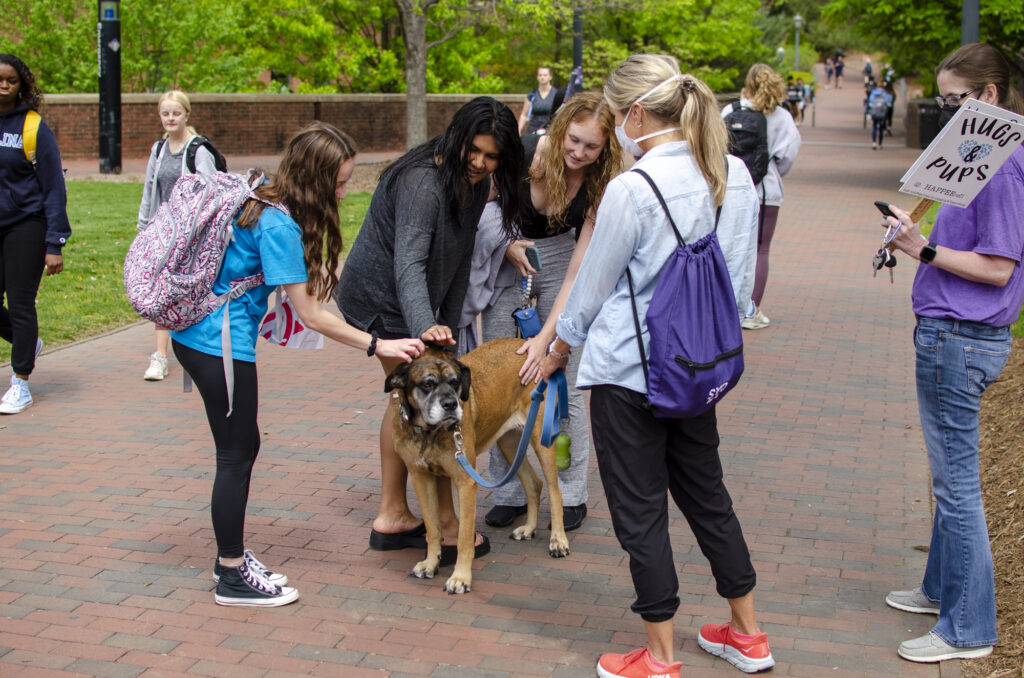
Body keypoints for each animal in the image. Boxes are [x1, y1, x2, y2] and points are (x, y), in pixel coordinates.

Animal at [385, 340, 573, 594]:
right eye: (427, 384)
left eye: (455, 382)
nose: (450, 404)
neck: (428, 433)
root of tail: (528, 345)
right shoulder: (420, 478)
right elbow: (433, 528)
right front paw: (431, 563)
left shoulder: (465, 482)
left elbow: (464, 537)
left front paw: (461, 577)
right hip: (509, 442)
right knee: (534, 482)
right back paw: (528, 528)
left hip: (541, 436)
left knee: (555, 491)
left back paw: (558, 540)